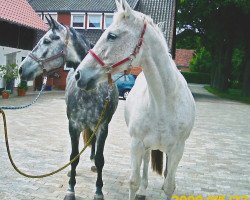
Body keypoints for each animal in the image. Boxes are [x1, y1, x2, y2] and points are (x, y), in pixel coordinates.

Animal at [18, 16, 118, 200]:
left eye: (47, 40)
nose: (22, 69)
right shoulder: (73, 125)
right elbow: (73, 156)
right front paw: (70, 188)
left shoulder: (102, 127)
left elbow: (100, 159)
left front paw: (98, 190)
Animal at [73, 0, 195, 199]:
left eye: (112, 36)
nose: (78, 75)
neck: (164, 103)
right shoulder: (137, 144)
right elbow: (134, 182)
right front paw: (139, 188)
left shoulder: (177, 149)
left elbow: (169, 186)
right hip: (145, 147)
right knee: (145, 164)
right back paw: (144, 190)